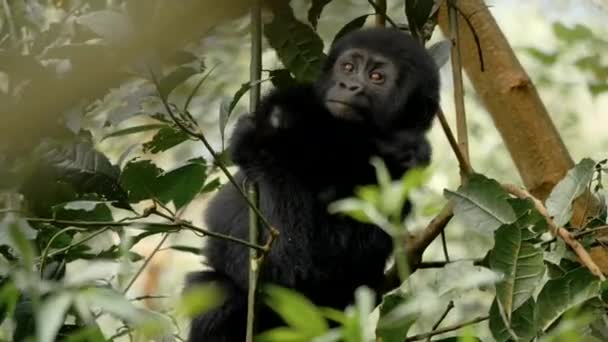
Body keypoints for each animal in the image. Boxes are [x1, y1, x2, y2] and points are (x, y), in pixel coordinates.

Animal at [188, 27, 440, 342]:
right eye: (348, 67)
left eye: (377, 77)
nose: (348, 85)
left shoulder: (398, 172)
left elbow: (299, 268)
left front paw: (272, 131)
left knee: (216, 289)